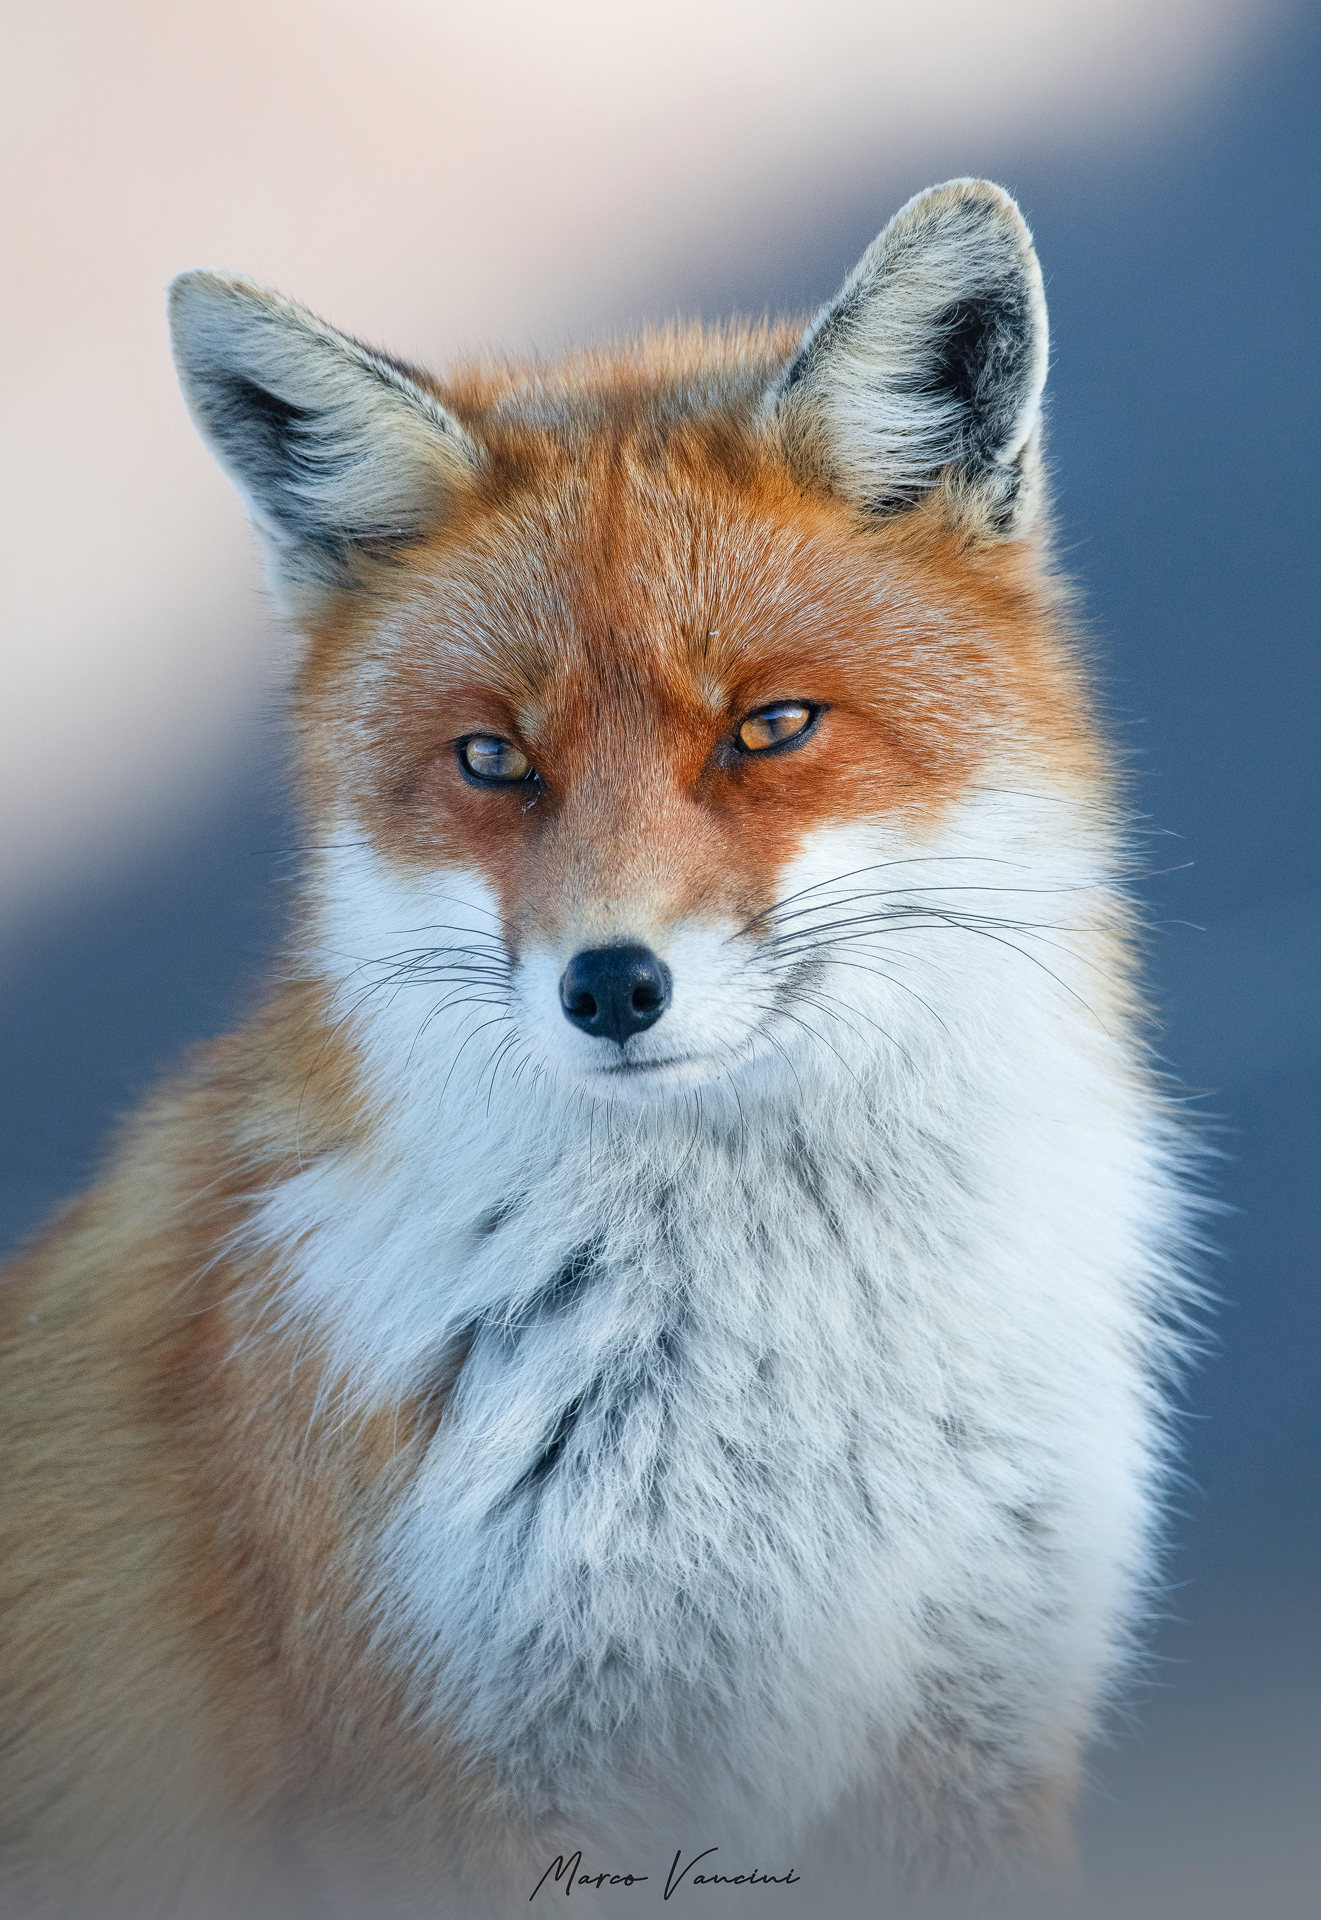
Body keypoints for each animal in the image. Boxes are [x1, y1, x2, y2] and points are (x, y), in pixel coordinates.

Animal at [0, 180, 1193, 1918]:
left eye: (769, 726)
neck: (780, 1387)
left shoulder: (976, 1733)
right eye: (495, 760)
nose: (612, 987)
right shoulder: (454, 1790)